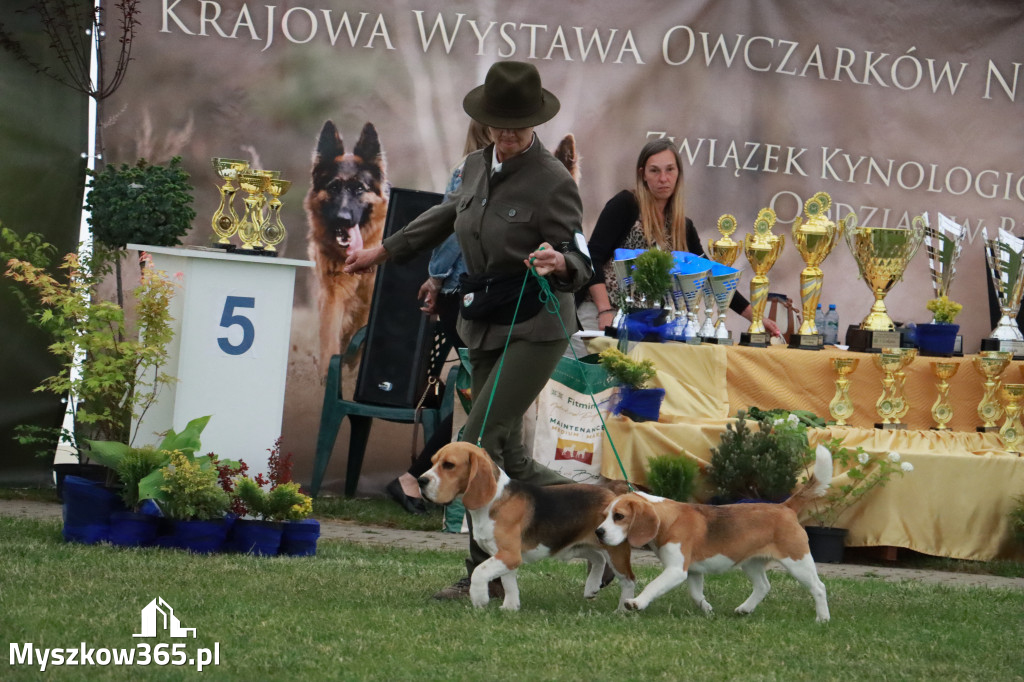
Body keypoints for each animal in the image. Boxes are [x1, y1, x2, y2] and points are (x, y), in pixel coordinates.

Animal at [415, 440, 630, 610]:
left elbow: (479, 571)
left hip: (609, 547)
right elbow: (508, 583)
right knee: (598, 559)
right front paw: (510, 607)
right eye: (432, 462)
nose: (420, 480)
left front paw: (480, 598)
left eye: (449, 465)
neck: (494, 500)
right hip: (576, 545)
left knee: (621, 575)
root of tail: (611, 493)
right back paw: (592, 586)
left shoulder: (509, 555)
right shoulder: (504, 557)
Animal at [598, 440, 835, 622]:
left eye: (619, 516)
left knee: (819, 587)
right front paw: (707, 610)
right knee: (763, 586)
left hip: (798, 561)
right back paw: (745, 609)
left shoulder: (676, 570)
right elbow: (696, 595)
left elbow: (653, 586)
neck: (668, 519)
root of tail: (785, 507)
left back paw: (822, 618)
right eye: (604, 515)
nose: (599, 532)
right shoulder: (694, 571)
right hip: (751, 561)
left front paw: (637, 602)